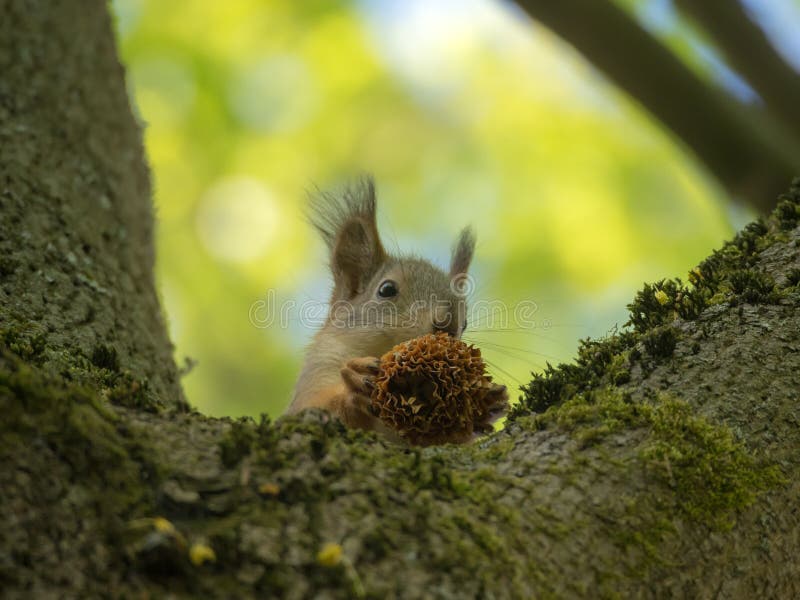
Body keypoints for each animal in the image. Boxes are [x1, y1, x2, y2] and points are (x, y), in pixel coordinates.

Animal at [286, 177, 476, 438]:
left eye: (465, 321)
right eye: (386, 289)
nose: (448, 324)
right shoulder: (320, 369)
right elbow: (314, 407)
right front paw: (354, 387)